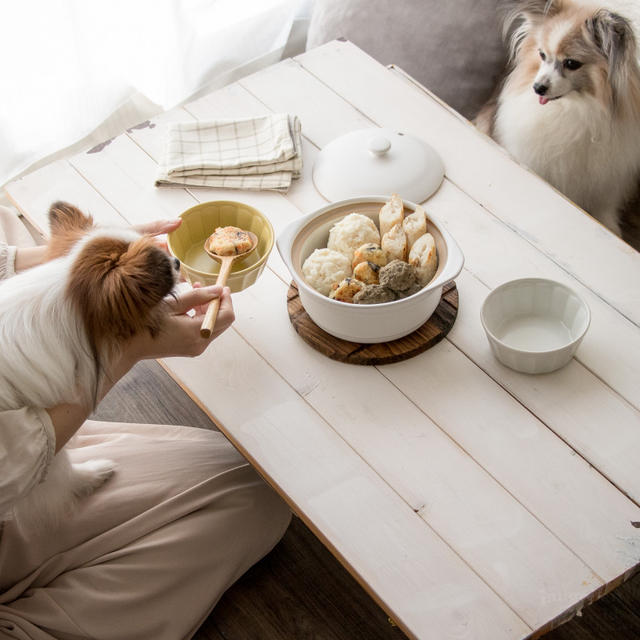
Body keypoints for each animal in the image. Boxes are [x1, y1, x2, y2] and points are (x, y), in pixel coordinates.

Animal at [476, 0, 640, 235]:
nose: (537, 88)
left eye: (571, 63)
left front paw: (611, 229)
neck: (578, 108)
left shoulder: (609, 179)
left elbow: (604, 209)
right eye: (542, 55)